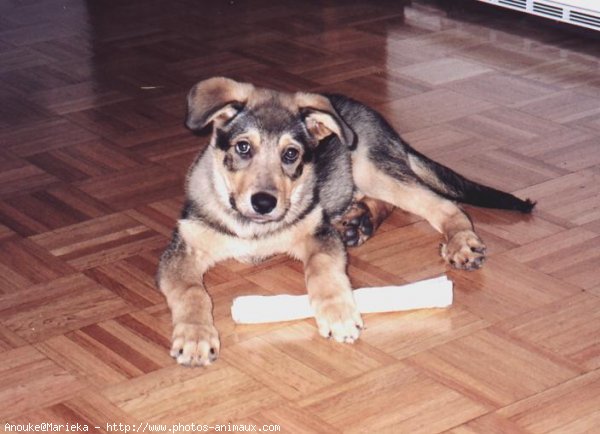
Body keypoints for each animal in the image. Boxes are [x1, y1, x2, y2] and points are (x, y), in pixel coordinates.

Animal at [156, 77, 536, 366]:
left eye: (291, 154)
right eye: (243, 147)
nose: (264, 203)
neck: (252, 228)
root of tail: (377, 121)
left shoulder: (317, 232)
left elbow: (322, 268)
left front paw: (337, 312)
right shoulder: (182, 249)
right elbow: (192, 292)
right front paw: (195, 336)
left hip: (370, 166)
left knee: (442, 204)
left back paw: (458, 241)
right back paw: (358, 222)